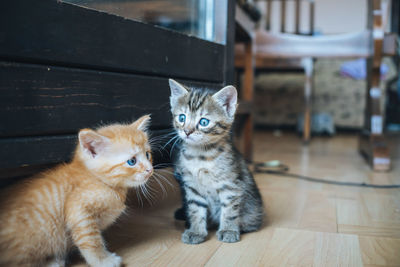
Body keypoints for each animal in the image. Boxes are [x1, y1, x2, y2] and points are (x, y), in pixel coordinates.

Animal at [0, 115, 153, 267]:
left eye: (147, 154)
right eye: (132, 161)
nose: (150, 169)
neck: (98, 180)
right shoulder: (78, 211)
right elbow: (91, 240)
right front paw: (103, 260)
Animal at [168, 79, 264, 245]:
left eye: (204, 122)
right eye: (181, 118)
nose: (187, 132)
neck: (200, 155)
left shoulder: (231, 185)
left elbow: (230, 210)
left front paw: (228, 230)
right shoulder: (192, 186)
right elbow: (195, 209)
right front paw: (196, 231)